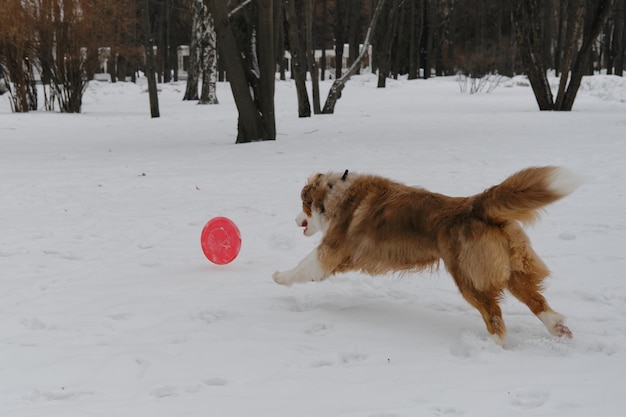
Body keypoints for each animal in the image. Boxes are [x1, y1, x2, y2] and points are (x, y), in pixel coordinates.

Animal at [272, 166, 580, 344]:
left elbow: (303, 266)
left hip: (468, 278)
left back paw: (495, 348)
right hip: (514, 268)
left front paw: (278, 277)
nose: (295, 219)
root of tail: (474, 205)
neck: (335, 193)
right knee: (536, 300)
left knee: (494, 314)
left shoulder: (331, 250)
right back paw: (558, 328)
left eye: (303, 203)